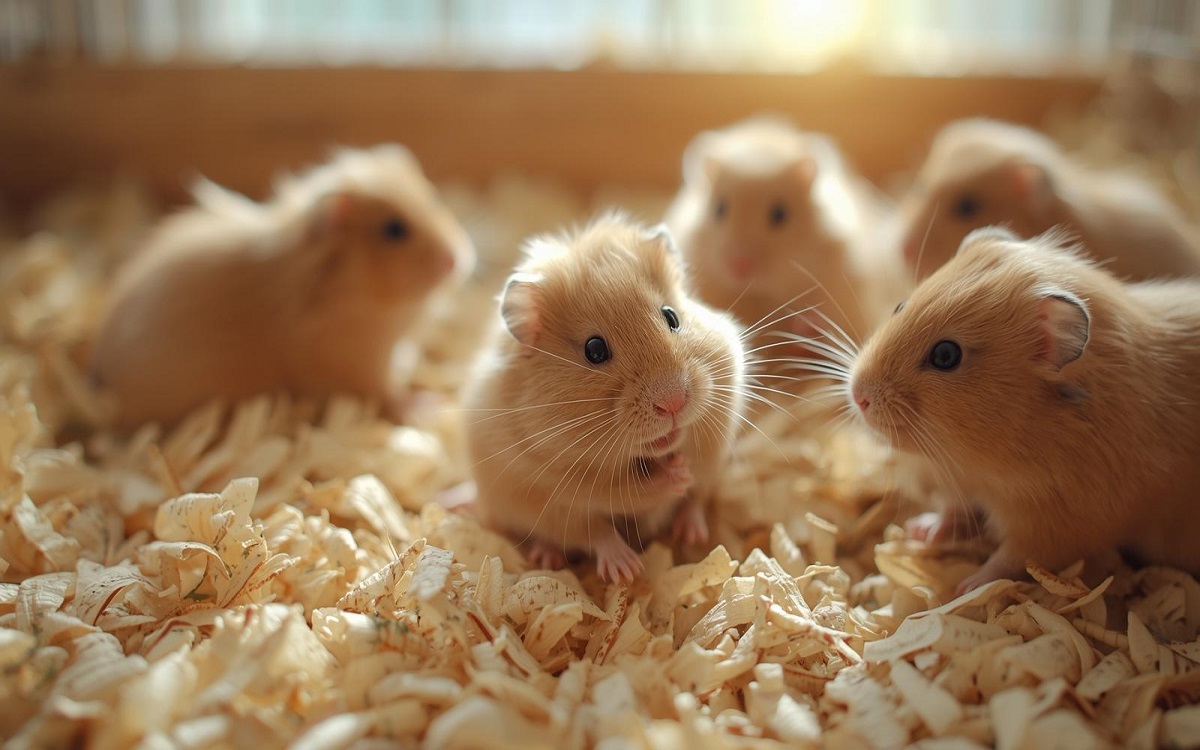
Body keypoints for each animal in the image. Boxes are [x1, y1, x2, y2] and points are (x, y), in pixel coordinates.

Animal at [90, 144, 475, 427]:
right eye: (394, 230)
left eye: (434, 198)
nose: (459, 260)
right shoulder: (357, 362)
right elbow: (386, 394)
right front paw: (427, 406)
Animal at [463, 213, 746, 582]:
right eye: (594, 350)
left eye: (671, 317)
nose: (673, 402)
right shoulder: (553, 494)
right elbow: (602, 523)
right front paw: (628, 571)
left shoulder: (711, 454)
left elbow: (695, 496)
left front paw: (693, 530)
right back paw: (550, 558)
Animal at [848, 226, 1200, 593]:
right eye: (900, 306)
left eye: (946, 355)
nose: (858, 396)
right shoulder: (964, 482)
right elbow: (954, 511)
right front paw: (920, 531)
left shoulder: (1058, 527)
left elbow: (1010, 559)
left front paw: (968, 588)